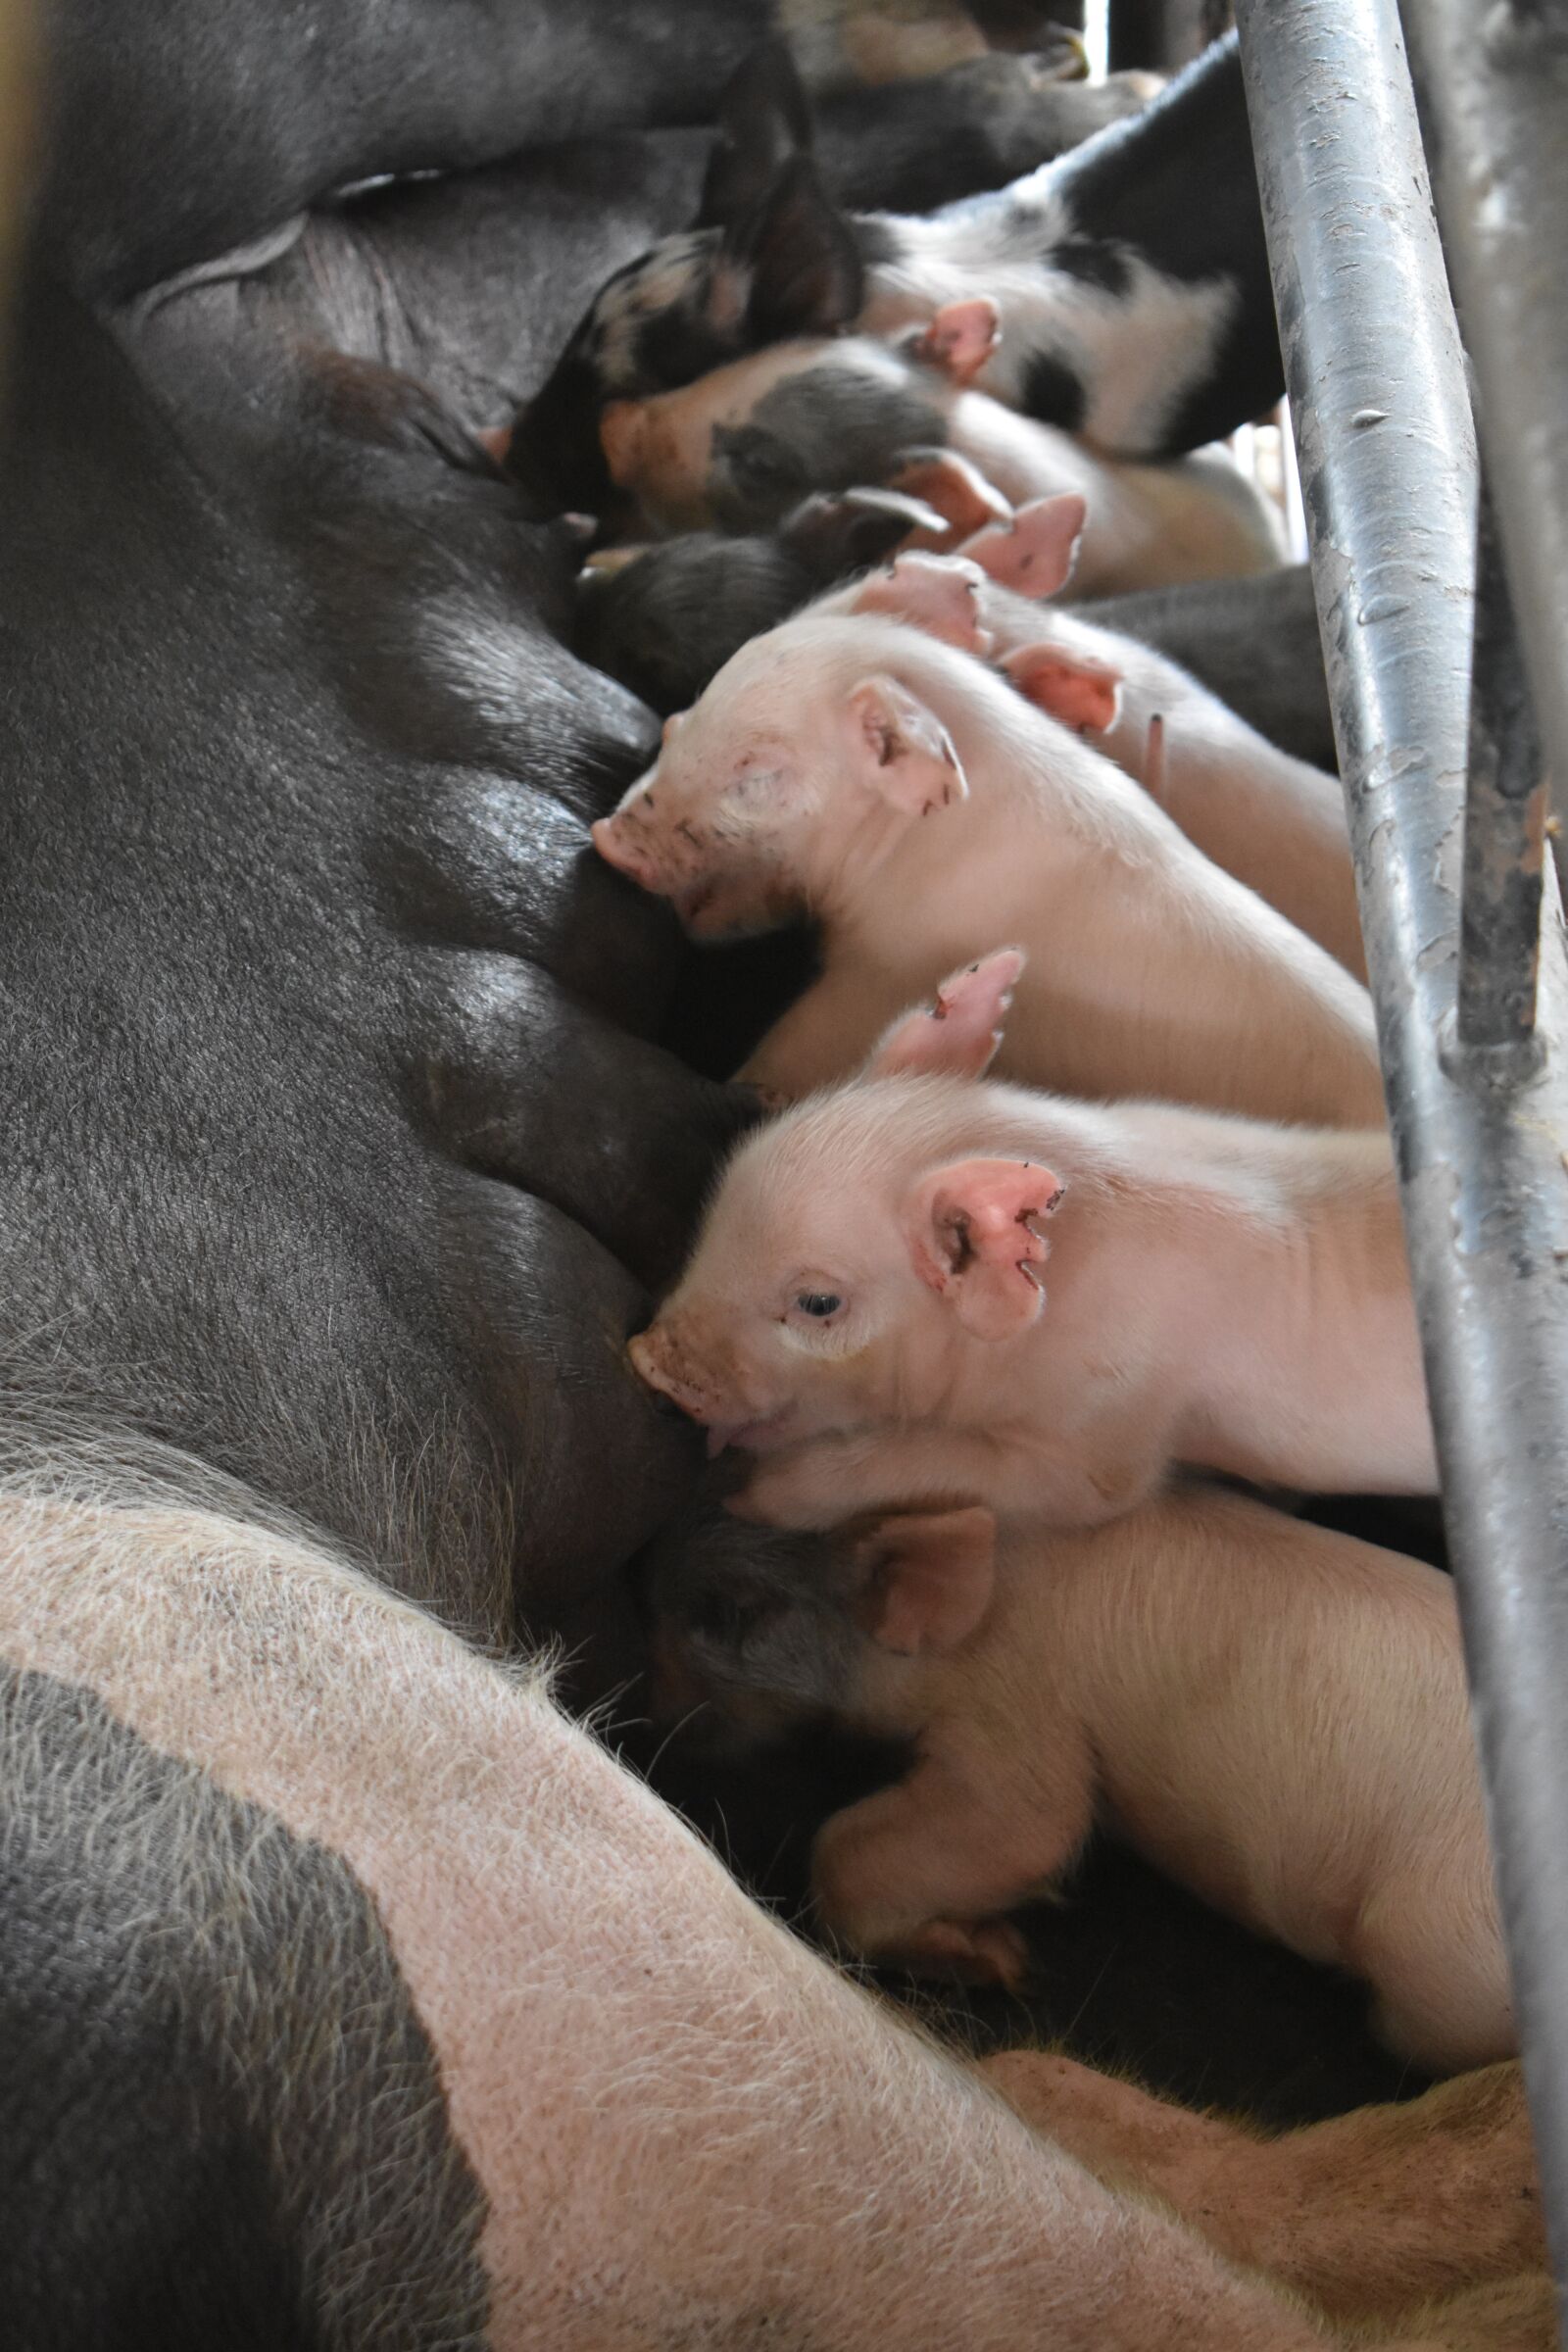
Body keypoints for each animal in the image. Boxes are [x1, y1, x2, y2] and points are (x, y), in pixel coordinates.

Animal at [629, 953, 1433, 1527]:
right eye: (718, 1210)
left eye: (819, 1304)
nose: (644, 1361)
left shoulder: (1104, 1437)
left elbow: (1032, 1483)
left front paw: (744, 1495)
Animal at [643, 1482, 1513, 2073]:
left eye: (731, 1614)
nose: (654, 1716)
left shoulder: (1018, 1716)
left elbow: (1021, 1826)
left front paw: (1007, 1962)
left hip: (1432, 1955)